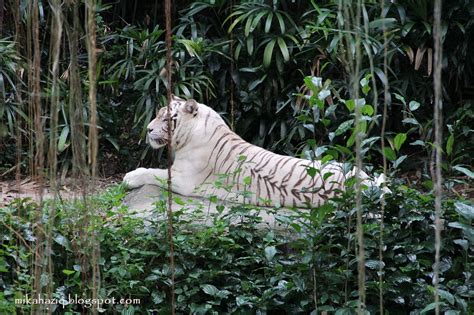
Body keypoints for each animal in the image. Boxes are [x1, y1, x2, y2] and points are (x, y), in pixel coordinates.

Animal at [123, 95, 382, 209]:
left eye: (167, 118)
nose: (148, 129)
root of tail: (371, 183)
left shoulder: (184, 179)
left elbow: (152, 172)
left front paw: (129, 178)